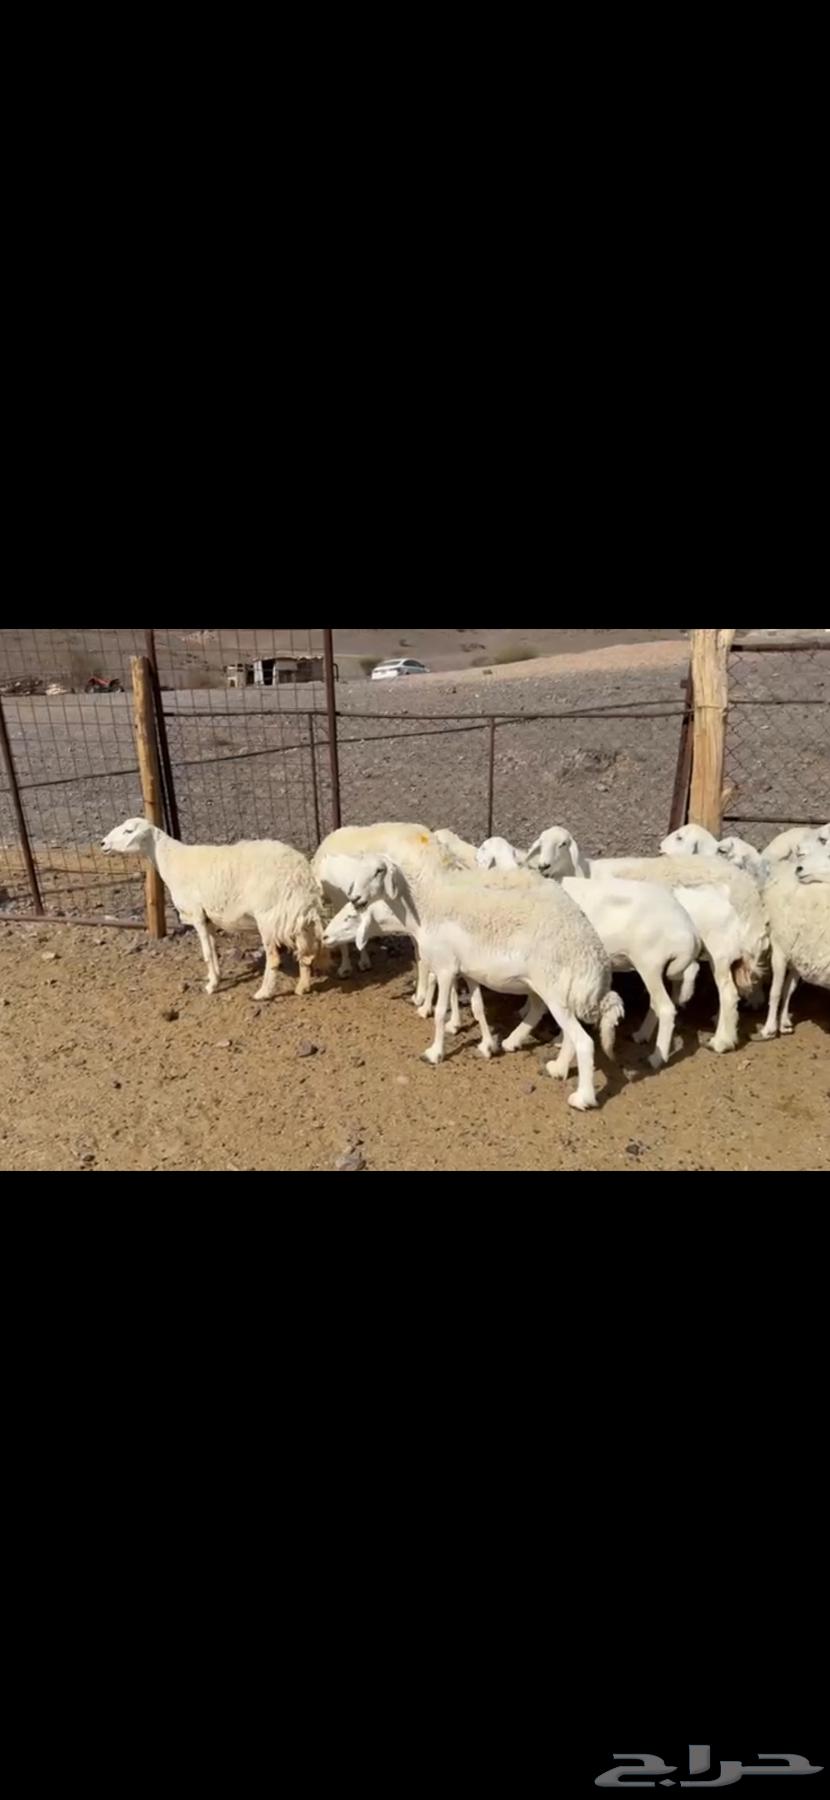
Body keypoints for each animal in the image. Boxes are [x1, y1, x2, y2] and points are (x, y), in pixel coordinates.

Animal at [101, 818, 326, 998]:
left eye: (129, 831)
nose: (102, 844)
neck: (171, 861)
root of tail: (301, 873)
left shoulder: (196, 914)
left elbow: (207, 953)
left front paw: (211, 986)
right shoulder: (207, 917)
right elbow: (213, 950)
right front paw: (215, 978)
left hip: (269, 916)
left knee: (275, 958)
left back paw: (263, 993)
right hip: (294, 916)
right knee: (306, 953)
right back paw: (302, 987)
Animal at [323, 854, 624, 1111]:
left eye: (378, 871)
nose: (356, 898)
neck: (426, 907)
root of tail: (595, 960)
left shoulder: (445, 966)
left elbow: (440, 1012)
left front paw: (435, 1052)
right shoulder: (468, 970)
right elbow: (478, 1007)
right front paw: (487, 1046)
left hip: (555, 989)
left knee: (582, 1041)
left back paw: (582, 1097)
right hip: (552, 989)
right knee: (558, 1026)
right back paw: (550, 1064)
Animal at [756, 850, 830, 1039]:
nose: (800, 868)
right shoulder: (780, 949)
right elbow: (775, 992)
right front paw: (769, 1029)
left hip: (800, 952)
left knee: (787, 989)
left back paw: (783, 1022)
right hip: (783, 947)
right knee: (781, 990)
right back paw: (775, 1025)